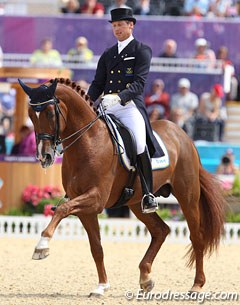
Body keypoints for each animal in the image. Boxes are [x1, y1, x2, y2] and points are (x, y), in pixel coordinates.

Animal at [18, 77, 225, 296]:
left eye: (50, 113)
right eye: (31, 115)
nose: (45, 156)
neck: (88, 141)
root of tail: (182, 135)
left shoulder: (96, 199)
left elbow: (62, 209)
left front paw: (41, 247)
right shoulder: (86, 209)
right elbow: (96, 248)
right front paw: (101, 286)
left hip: (188, 197)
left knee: (197, 237)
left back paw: (196, 285)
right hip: (137, 203)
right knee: (161, 230)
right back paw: (145, 279)